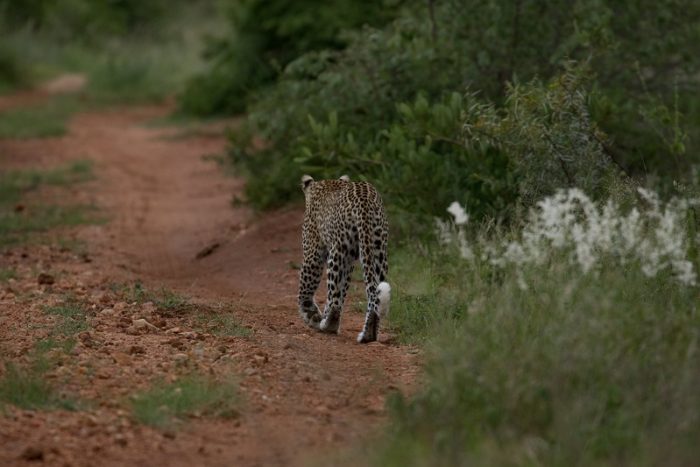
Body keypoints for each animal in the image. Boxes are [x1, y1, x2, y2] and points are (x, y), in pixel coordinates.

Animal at [297, 174, 390, 343]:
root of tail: (363, 203)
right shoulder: (349, 262)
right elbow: (343, 289)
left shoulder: (313, 253)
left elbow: (306, 289)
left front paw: (311, 314)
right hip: (378, 251)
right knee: (373, 295)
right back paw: (368, 334)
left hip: (337, 251)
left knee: (334, 299)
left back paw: (328, 325)